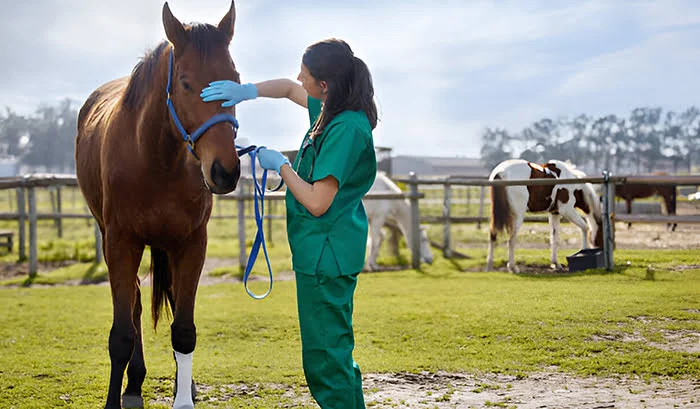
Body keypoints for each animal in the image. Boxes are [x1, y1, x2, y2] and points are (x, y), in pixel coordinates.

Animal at [75, 1, 242, 406]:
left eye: (234, 77)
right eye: (185, 82)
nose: (225, 171)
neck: (156, 159)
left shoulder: (192, 243)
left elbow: (183, 328)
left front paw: (185, 393)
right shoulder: (120, 242)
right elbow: (121, 334)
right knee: (135, 304)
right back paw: (134, 383)